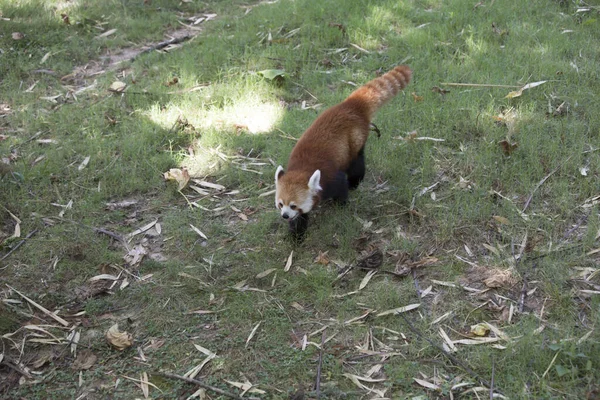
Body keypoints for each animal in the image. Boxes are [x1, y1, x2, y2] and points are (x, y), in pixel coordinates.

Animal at [274, 65, 410, 239]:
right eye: (281, 204)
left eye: (293, 205)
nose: (285, 215)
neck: (303, 169)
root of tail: (348, 105)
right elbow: (300, 220)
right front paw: (296, 236)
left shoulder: (330, 178)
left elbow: (341, 186)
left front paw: (341, 204)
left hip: (355, 139)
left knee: (357, 161)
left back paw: (355, 182)